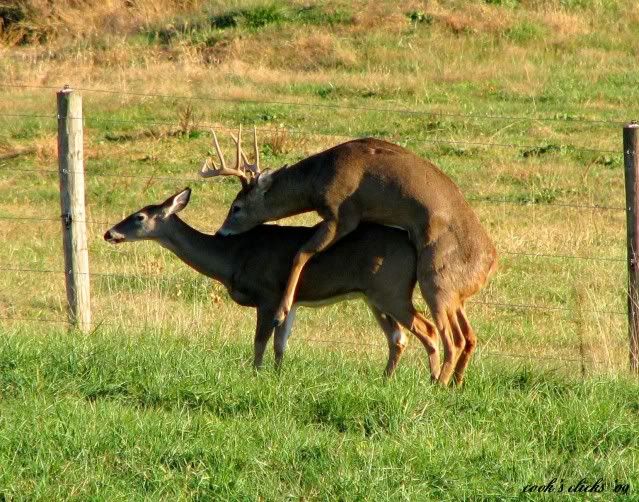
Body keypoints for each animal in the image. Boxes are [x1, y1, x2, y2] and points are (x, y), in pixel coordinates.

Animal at [106, 188, 444, 380]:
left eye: (138, 217)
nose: (109, 233)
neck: (232, 256)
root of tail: (413, 247)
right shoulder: (291, 302)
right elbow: (281, 344)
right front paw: (279, 378)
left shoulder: (267, 294)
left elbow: (259, 342)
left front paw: (256, 376)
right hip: (374, 297)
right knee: (398, 337)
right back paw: (386, 380)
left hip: (391, 291)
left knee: (427, 330)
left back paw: (433, 381)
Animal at [200, 127, 500, 386]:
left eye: (237, 207)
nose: (220, 232)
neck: (318, 178)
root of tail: (490, 263)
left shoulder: (342, 214)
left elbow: (301, 252)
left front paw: (282, 310)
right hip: (454, 293)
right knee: (469, 336)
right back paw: (455, 382)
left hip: (435, 276)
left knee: (452, 338)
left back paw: (439, 383)